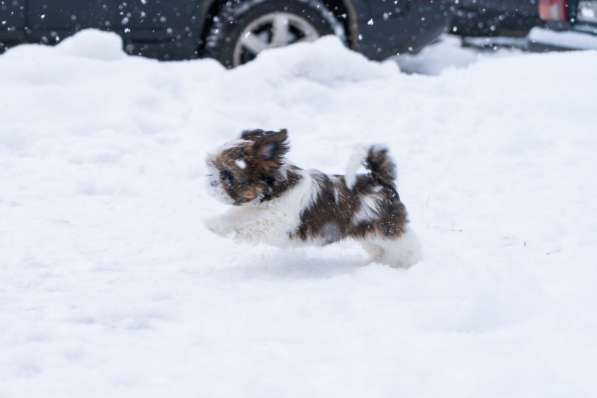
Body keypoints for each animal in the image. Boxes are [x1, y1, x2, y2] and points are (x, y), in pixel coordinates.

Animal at [207, 129, 422, 268]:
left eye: (227, 175)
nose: (211, 182)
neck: (274, 189)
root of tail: (381, 183)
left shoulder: (274, 221)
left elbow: (247, 218)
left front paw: (220, 226)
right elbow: (242, 213)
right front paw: (216, 223)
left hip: (388, 229)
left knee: (407, 246)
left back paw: (408, 264)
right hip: (369, 234)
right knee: (379, 248)